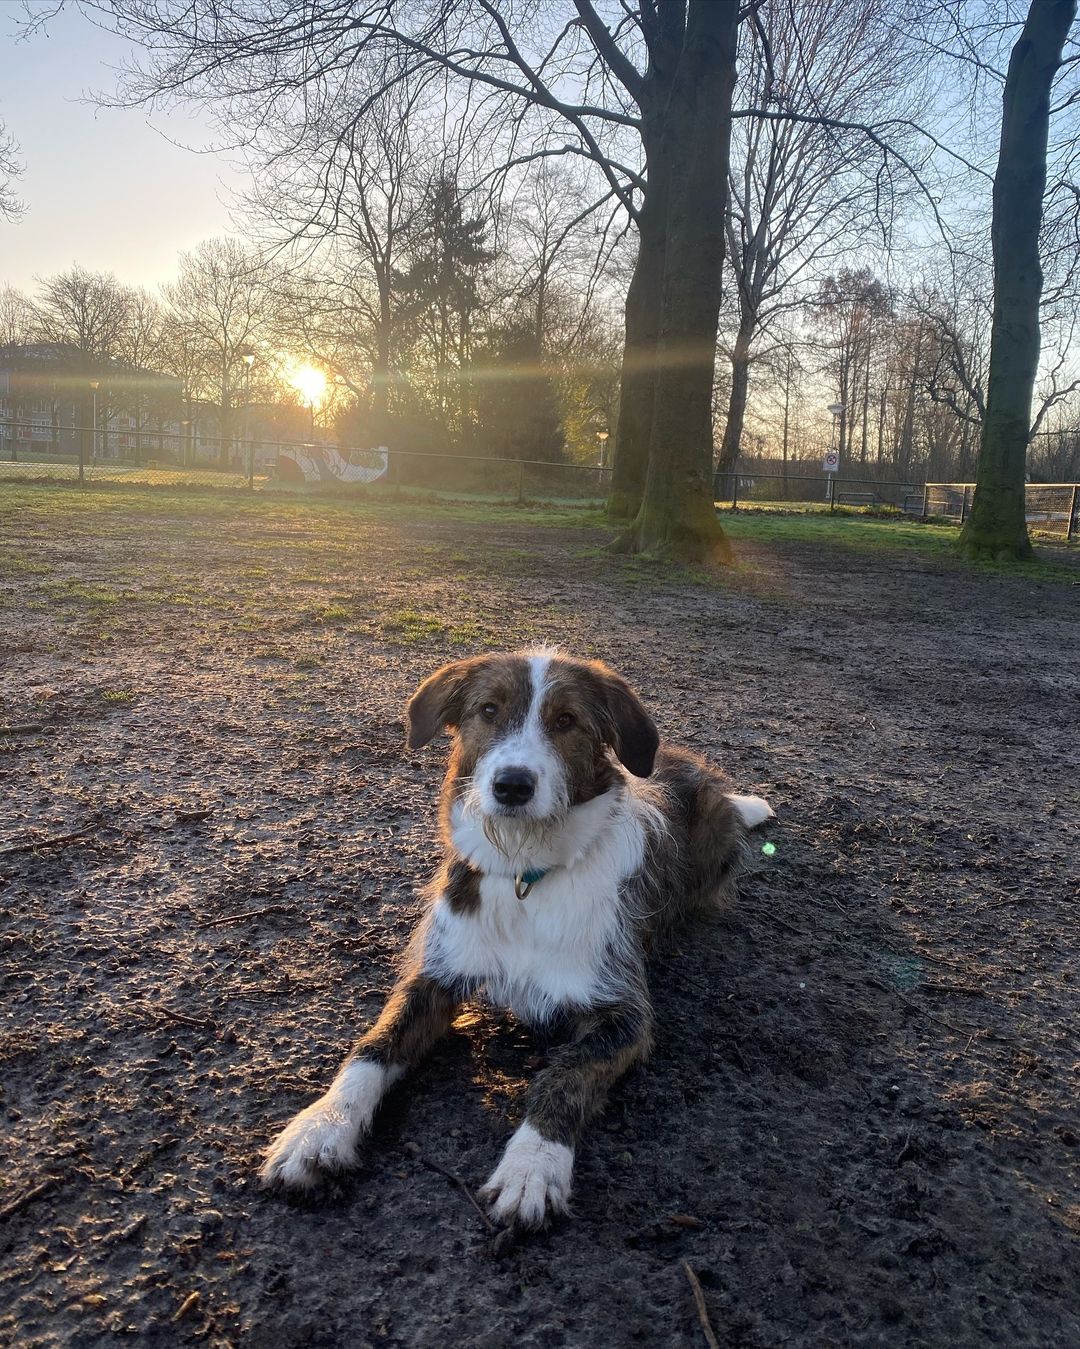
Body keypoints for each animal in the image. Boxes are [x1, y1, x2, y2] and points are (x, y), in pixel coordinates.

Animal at [257, 647, 771, 1230]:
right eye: (488, 710)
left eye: (566, 720)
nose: (512, 785)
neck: (529, 871)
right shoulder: (435, 974)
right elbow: (374, 1045)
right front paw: (320, 1127)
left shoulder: (623, 1012)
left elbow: (563, 1077)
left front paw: (533, 1164)